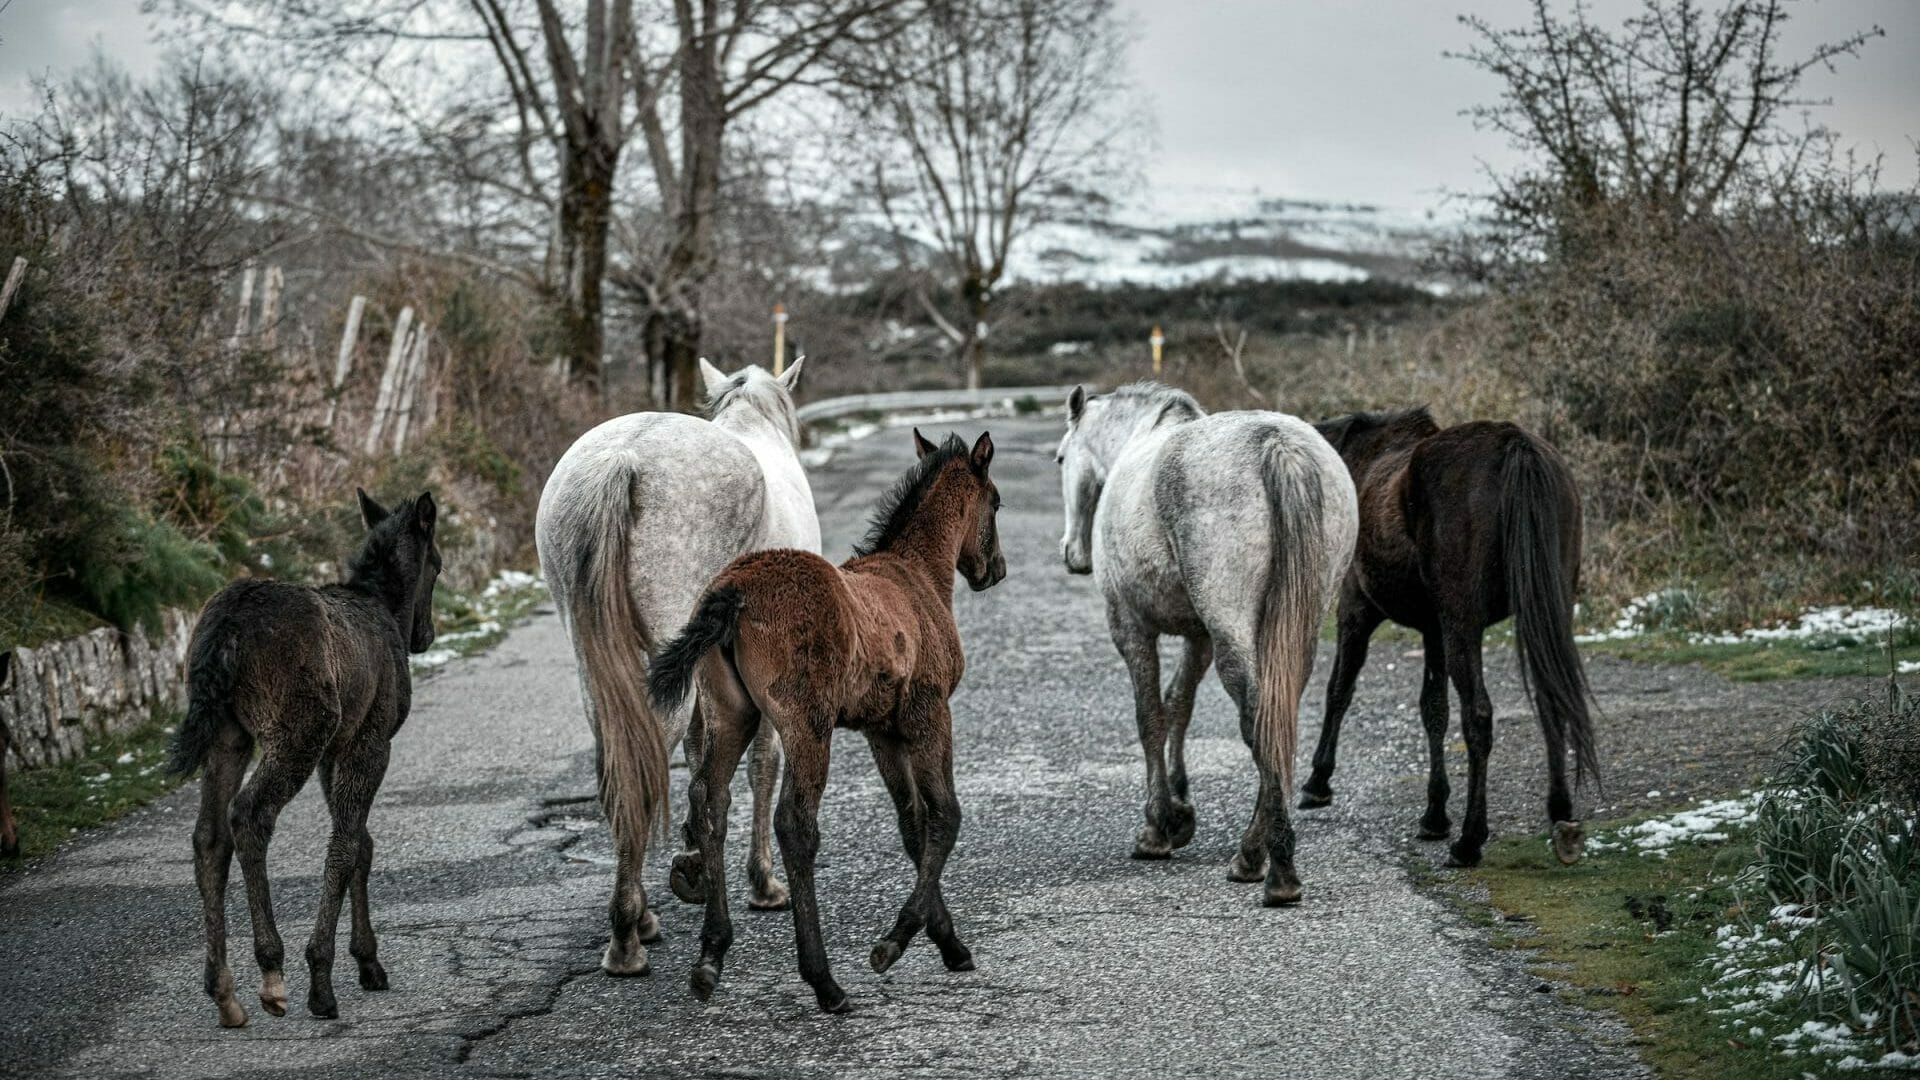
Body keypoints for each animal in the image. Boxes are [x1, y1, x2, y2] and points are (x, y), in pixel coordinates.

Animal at [167, 491, 443, 1022]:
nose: (426, 635)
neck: (386, 607)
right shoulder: (371, 740)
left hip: (230, 735)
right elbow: (346, 844)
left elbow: (361, 842)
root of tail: (226, 626)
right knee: (250, 814)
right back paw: (272, 970)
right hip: (296, 730)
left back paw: (222, 988)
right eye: (437, 565)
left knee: (210, 835)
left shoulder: (335, 749)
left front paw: (368, 960)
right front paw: (323, 973)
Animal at [533, 355, 817, 976]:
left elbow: (703, 756)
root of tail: (623, 458)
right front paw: (762, 883)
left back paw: (638, 919)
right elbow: (760, 764)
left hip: (598, 658)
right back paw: (626, 938)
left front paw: (693, 857)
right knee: (641, 772)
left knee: (618, 766)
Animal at [648, 428, 1006, 1006]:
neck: (918, 577)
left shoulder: (883, 730)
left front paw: (948, 942)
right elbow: (945, 815)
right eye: (996, 503)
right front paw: (896, 942)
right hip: (807, 725)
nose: (994, 570)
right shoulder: (929, 713)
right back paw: (824, 981)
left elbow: (913, 824)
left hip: (733, 715)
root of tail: (734, 591)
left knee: (709, 801)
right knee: (795, 824)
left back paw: (710, 957)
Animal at [1059, 382, 1359, 903]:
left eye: (1060, 458)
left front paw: (1158, 826)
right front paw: (1180, 811)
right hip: (1293, 630)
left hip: (1230, 628)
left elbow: (1150, 717)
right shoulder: (1198, 636)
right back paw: (1256, 853)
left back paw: (1271, 865)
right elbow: (1178, 705)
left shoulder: (1131, 628)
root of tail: (1277, 444)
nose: (1071, 553)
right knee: (1277, 717)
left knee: (1257, 720)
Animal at [1297, 407, 1597, 860]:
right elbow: (1433, 710)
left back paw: (1471, 839)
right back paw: (1559, 810)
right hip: (1545, 609)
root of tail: (1514, 446)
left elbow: (1338, 691)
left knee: (1479, 716)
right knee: (1551, 700)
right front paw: (1435, 813)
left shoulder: (1356, 611)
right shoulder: (1433, 630)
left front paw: (1317, 782)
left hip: (1463, 624)